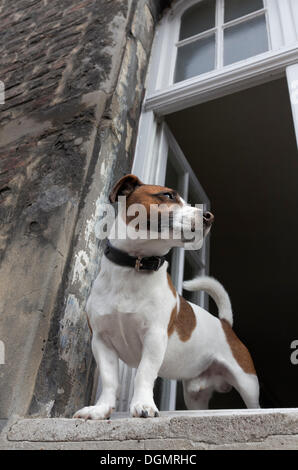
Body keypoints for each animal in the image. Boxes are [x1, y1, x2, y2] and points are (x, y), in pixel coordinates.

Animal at [73, 173, 260, 418]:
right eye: (168, 195)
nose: (209, 216)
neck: (135, 266)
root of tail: (224, 323)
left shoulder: (154, 337)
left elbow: (144, 373)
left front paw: (143, 405)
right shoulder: (102, 341)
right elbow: (110, 380)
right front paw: (100, 409)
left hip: (247, 383)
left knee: (254, 404)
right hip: (195, 397)